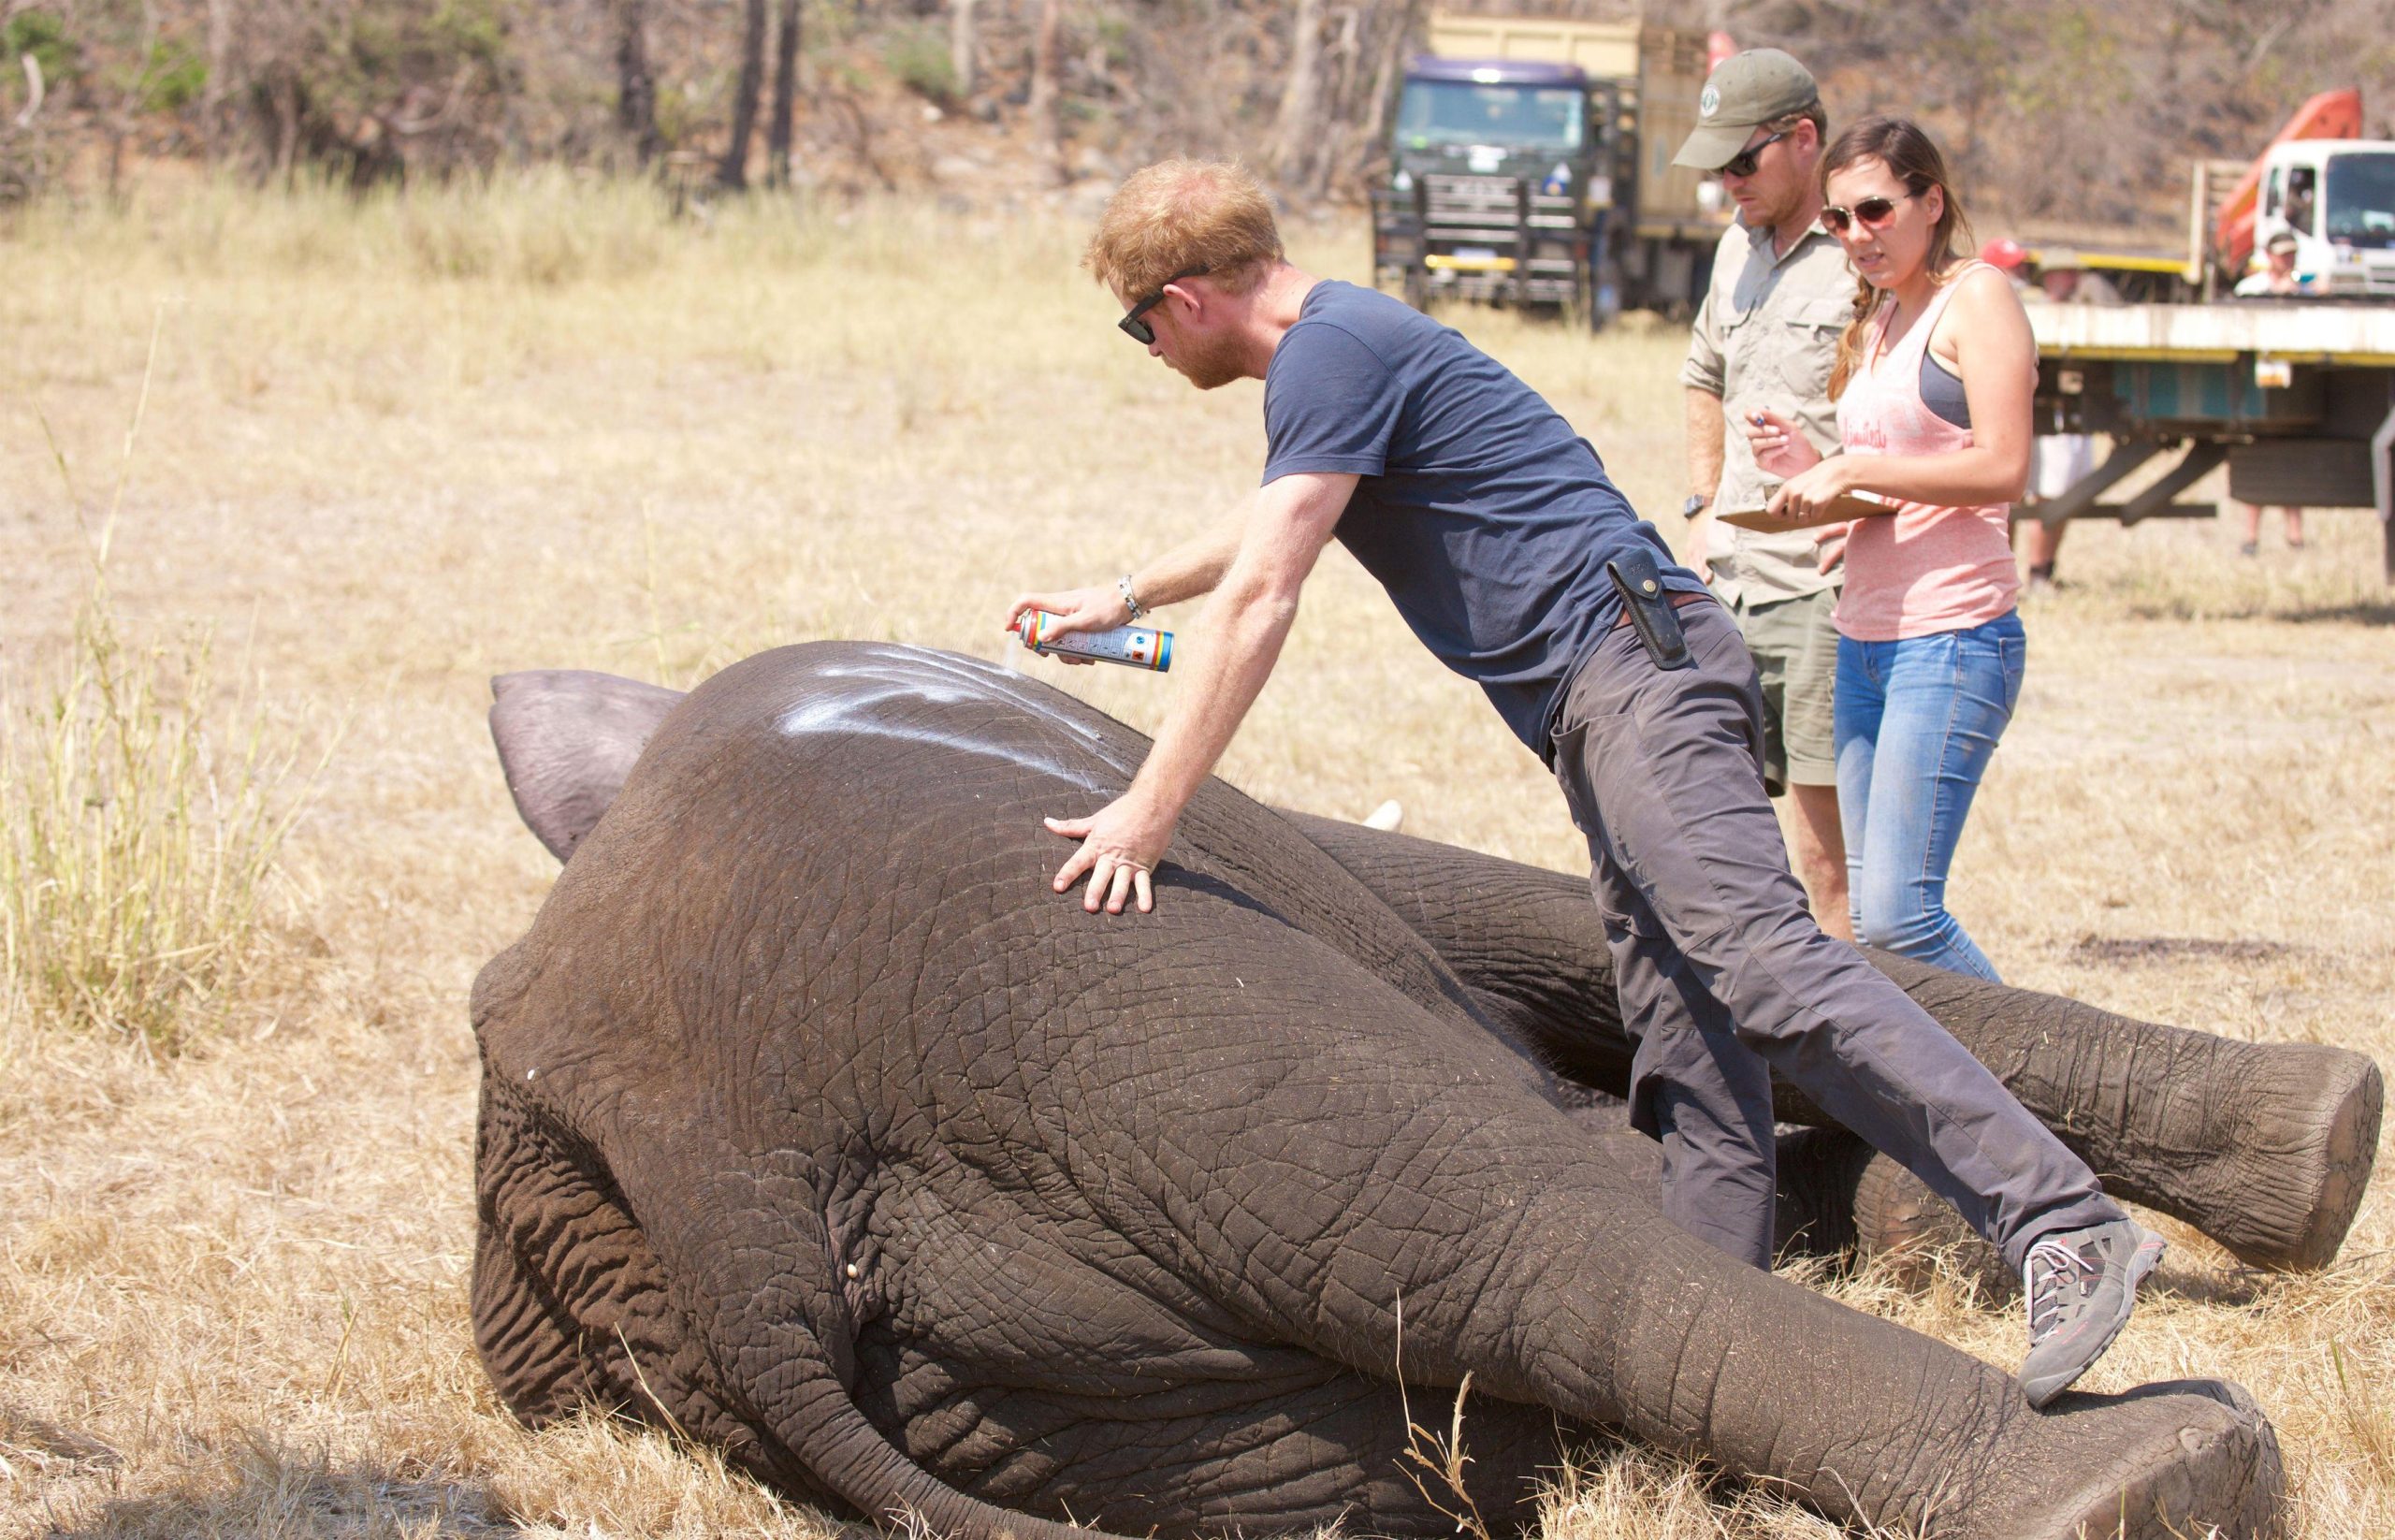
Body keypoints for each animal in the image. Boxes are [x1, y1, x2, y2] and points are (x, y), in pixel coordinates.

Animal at [467, 647, 2337, 1540]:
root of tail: (714, 1182)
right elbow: (1552, 924)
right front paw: (2322, 1141)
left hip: (1102, 1406)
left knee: (1457, 1397)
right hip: (1055, 972)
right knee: (1494, 1220)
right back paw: (2161, 1481)